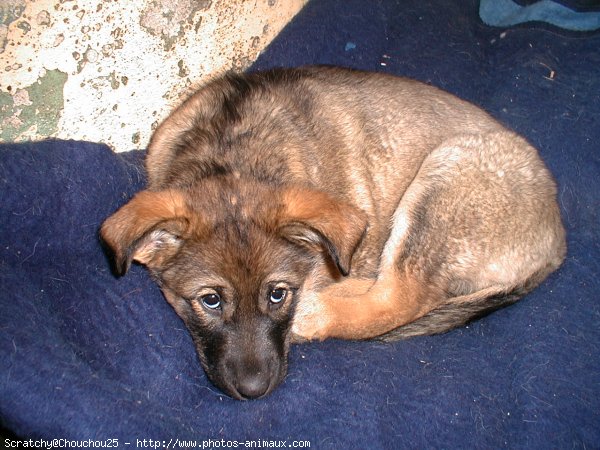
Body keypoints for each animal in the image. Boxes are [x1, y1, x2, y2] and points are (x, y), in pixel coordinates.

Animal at [101, 66, 564, 398]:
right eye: (210, 301)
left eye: (278, 294)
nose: (255, 391)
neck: (232, 152)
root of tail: (557, 241)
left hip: (446, 182)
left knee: (403, 297)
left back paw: (317, 312)